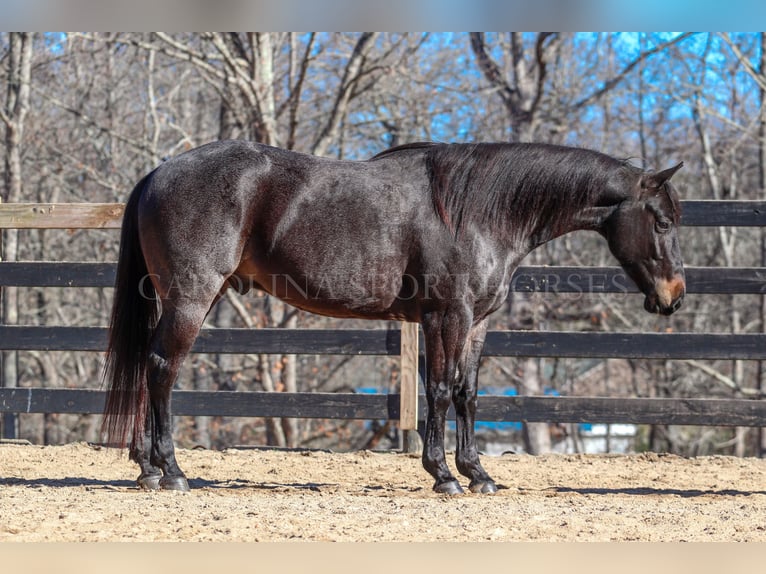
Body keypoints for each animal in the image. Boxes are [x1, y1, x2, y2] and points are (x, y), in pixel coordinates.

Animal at [100, 141, 684, 496]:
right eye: (661, 222)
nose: (674, 296)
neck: (480, 211)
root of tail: (158, 173)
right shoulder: (447, 316)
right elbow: (441, 391)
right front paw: (443, 474)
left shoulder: (477, 323)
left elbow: (469, 394)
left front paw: (478, 473)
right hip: (190, 299)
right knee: (162, 369)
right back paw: (172, 470)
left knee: (150, 367)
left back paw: (146, 467)